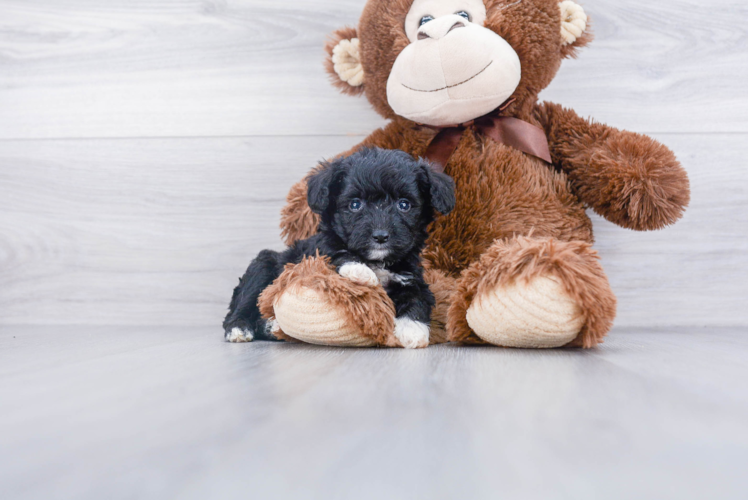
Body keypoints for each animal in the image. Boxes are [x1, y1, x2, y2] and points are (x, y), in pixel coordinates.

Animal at [222, 147, 456, 348]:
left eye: (404, 204)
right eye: (355, 204)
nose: (380, 236)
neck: (378, 261)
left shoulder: (411, 276)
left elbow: (417, 297)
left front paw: (412, 331)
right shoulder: (318, 252)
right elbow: (337, 252)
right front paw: (359, 270)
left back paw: (273, 326)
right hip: (263, 265)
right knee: (244, 302)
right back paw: (239, 328)